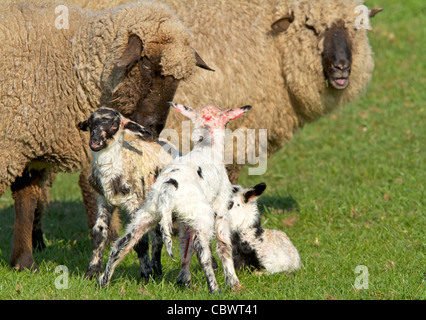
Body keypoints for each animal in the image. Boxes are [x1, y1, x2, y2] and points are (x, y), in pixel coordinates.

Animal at [77, 107, 181, 280]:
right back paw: (157, 269)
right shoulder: (104, 200)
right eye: (91, 124)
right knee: (157, 236)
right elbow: (99, 233)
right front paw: (91, 271)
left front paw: (145, 274)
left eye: (114, 125)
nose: (95, 142)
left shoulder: (135, 202)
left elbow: (140, 241)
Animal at [97, 102, 250, 292]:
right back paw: (215, 289)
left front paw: (183, 280)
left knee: (121, 244)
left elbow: (185, 246)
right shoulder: (221, 206)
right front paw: (233, 283)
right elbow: (223, 246)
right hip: (201, 215)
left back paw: (103, 282)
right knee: (203, 251)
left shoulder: (185, 220)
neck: (207, 145)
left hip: (149, 212)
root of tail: (167, 188)